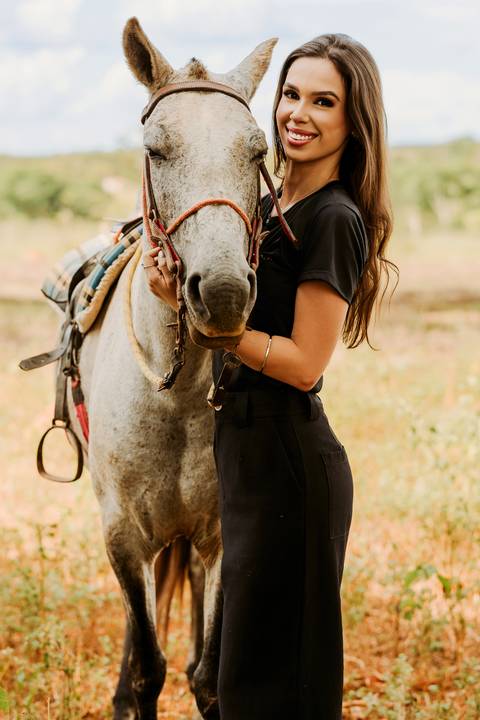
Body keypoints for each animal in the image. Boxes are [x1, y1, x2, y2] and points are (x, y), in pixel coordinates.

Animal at [67, 17, 277, 720]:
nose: (224, 294)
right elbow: (149, 670)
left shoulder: (220, 537)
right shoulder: (122, 536)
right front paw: (128, 693)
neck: (175, 393)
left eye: (258, 153)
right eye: (155, 151)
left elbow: (206, 675)